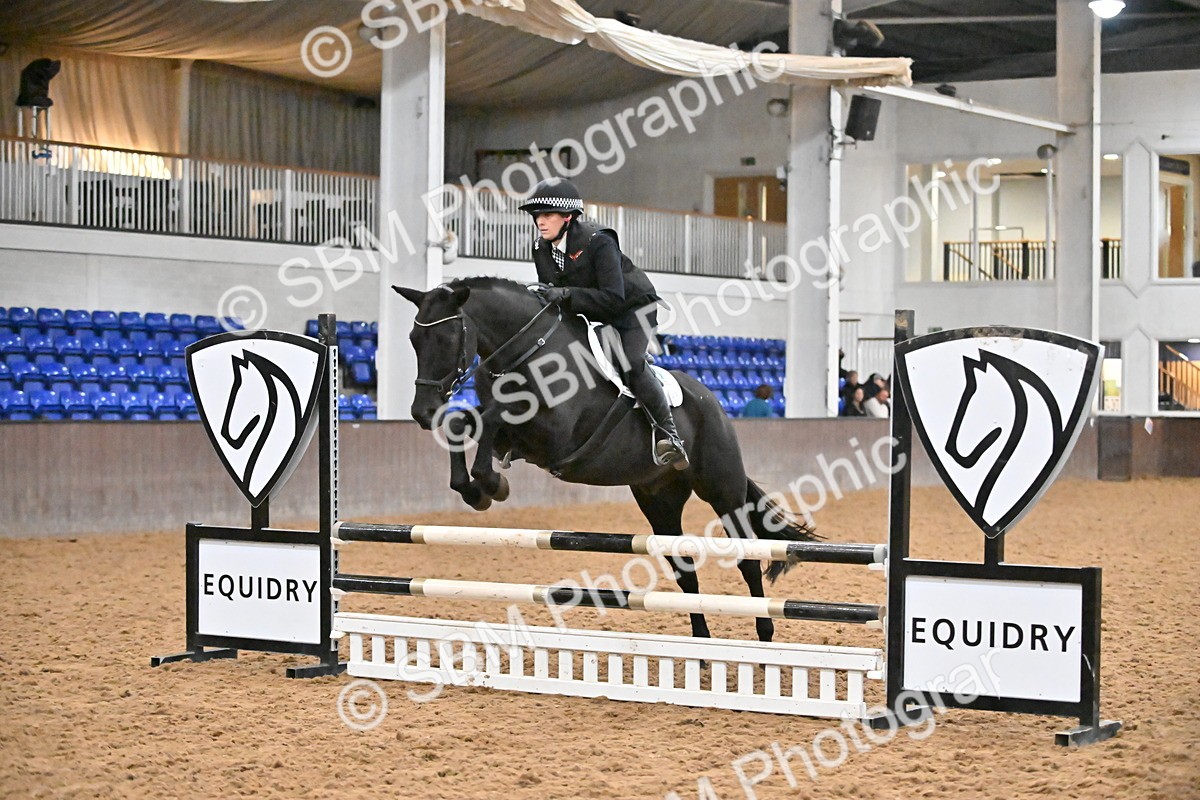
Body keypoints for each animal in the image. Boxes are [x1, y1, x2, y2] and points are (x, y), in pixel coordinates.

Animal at [393, 277, 819, 643]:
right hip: (659, 500)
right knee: (685, 573)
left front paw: (491, 484)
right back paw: (701, 645)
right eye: (413, 339)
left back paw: (764, 636)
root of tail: (713, 402)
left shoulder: (554, 433)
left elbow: (494, 416)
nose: (422, 411)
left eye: (447, 336)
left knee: (747, 558)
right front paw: (474, 489)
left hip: (722, 490)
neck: (528, 349)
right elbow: (466, 421)